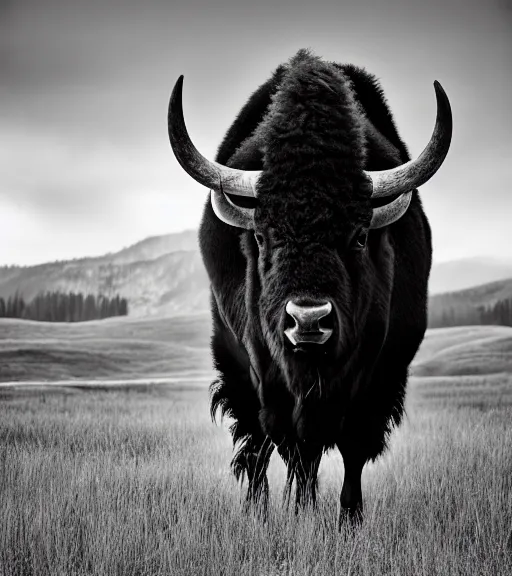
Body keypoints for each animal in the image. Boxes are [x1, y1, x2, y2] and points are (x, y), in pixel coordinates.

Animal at [168, 49, 452, 524]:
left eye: (359, 236)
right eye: (262, 236)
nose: (308, 321)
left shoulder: (379, 377)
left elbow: (351, 449)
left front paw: (348, 519)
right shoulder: (266, 378)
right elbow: (291, 447)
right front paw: (297, 513)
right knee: (259, 448)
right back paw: (260, 509)